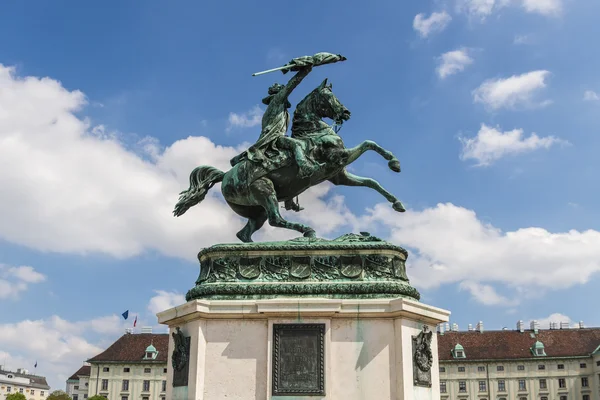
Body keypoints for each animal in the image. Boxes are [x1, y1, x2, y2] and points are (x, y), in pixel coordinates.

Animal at [175, 77, 408, 242]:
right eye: (328, 97)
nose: (346, 112)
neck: (312, 131)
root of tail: (225, 176)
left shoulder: (338, 175)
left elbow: (371, 181)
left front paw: (397, 202)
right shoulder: (338, 159)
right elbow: (369, 143)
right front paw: (394, 162)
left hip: (257, 210)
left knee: (246, 233)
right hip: (265, 190)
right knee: (275, 219)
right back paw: (307, 232)